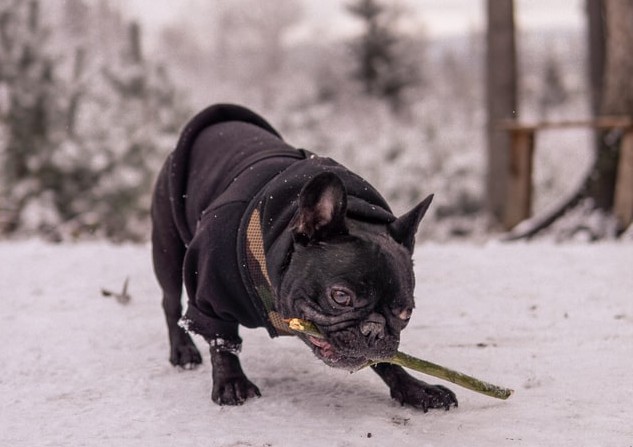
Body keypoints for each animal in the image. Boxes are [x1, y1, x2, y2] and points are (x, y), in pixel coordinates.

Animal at [152, 105, 460, 412]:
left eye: (405, 313)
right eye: (341, 297)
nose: (373, 330)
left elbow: (387, 359)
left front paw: (414, 388)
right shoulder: (212, 294)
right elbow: (221, 339)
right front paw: (231, 382)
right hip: (168, 251)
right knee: (170, 302)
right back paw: (183, 351)